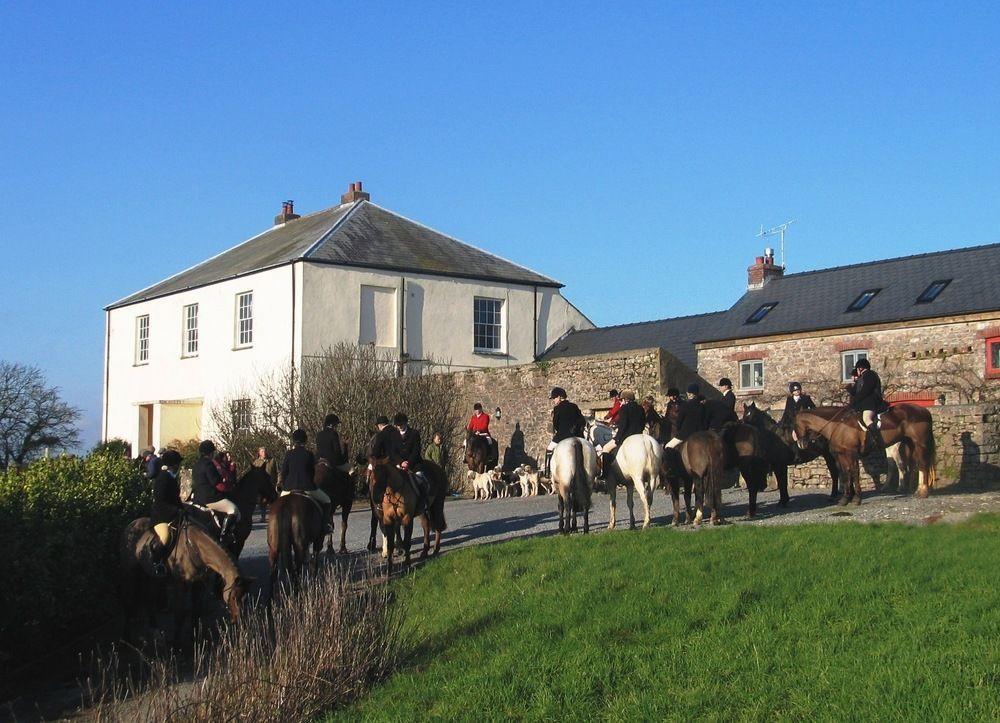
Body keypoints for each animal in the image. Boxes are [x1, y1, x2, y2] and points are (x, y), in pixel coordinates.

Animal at [121, 516, 256, 644]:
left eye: (244, 597)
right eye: (233, 597)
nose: (238, 620)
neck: (195, 547)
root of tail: (131, 525)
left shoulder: (200, 584)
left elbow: (196, 611)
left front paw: (195, 638)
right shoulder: (181, 584)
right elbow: (179, 613)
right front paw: (176, 643)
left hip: (150, 576)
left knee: (148, 599)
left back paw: (155, 630)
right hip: (131, 573)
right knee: (129, 600)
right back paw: (127, 638)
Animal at [796, 404, 936, 506]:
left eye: (794, 424)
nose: (801, 444)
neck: (838, 424)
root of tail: (924, 410)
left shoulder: (851, 454)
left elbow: (854, 473)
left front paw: (857, 498)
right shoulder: (842, 454)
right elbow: (846, 474)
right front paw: (845, 499)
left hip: (920, 443)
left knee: (922, 464)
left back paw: (922, 492)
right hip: (909, 443)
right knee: (912, 465)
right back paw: (913, 489)